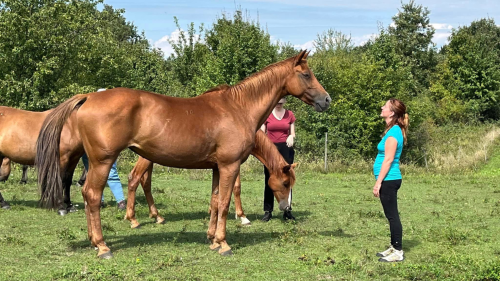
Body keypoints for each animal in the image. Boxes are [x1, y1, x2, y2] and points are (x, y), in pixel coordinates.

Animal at [36, 49, 332, 258]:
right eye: (306, 74)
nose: (327, 99)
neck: (238, 107)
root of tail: (88, 96)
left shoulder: (217, 168)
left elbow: (215, 201)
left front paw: (212, 239)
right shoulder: (229, 165)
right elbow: (226, 202)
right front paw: (224, 243)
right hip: (102, 161)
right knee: (92, 196)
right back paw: (102, 246)